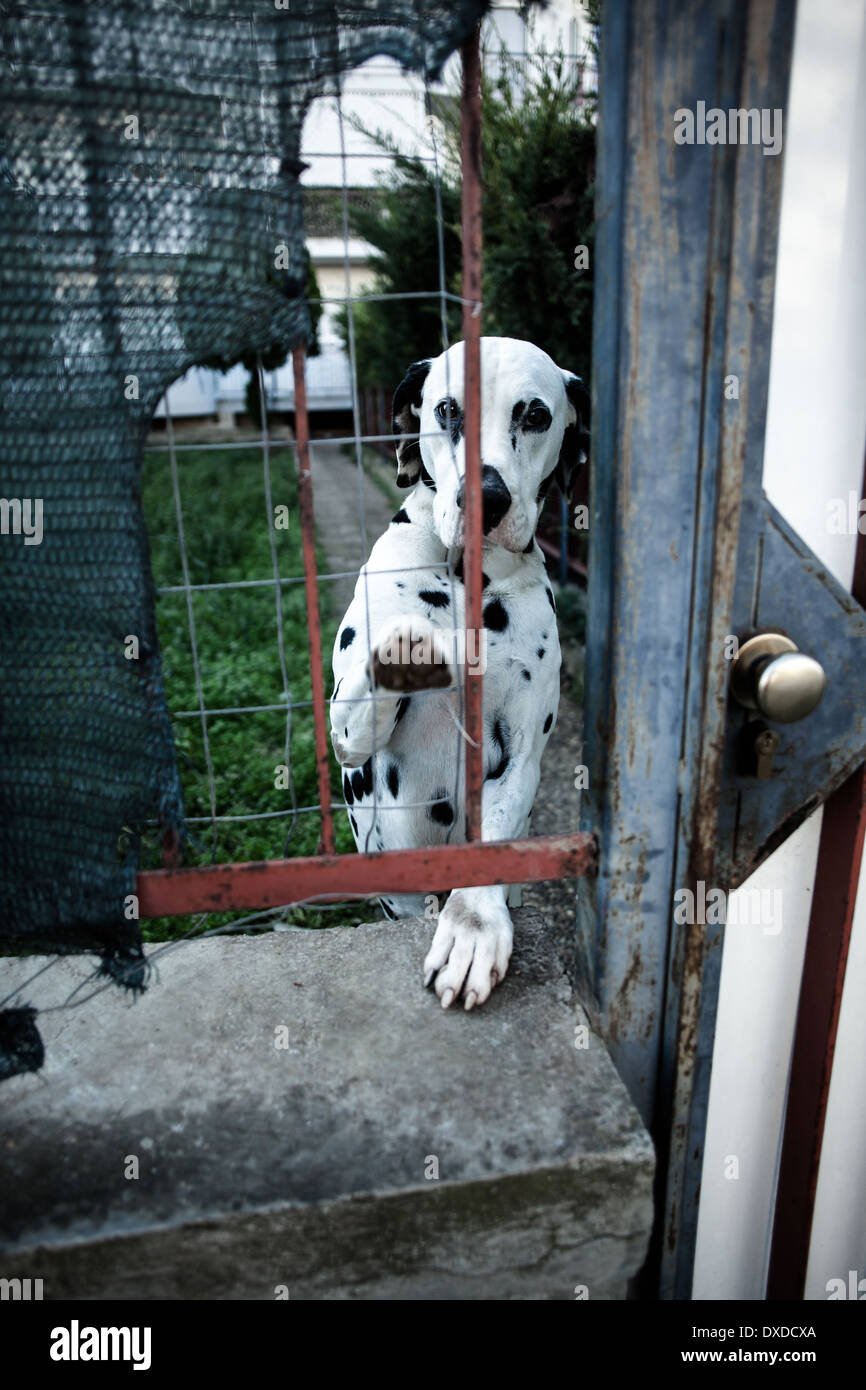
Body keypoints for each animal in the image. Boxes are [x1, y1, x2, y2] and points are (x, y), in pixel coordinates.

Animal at [330, 336, 589, 1011]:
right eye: (447, 410)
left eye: (536, 415)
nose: (485, 497)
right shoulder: (348, 730)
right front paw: (415, 635)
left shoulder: (521, 757)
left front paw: (472, 929)